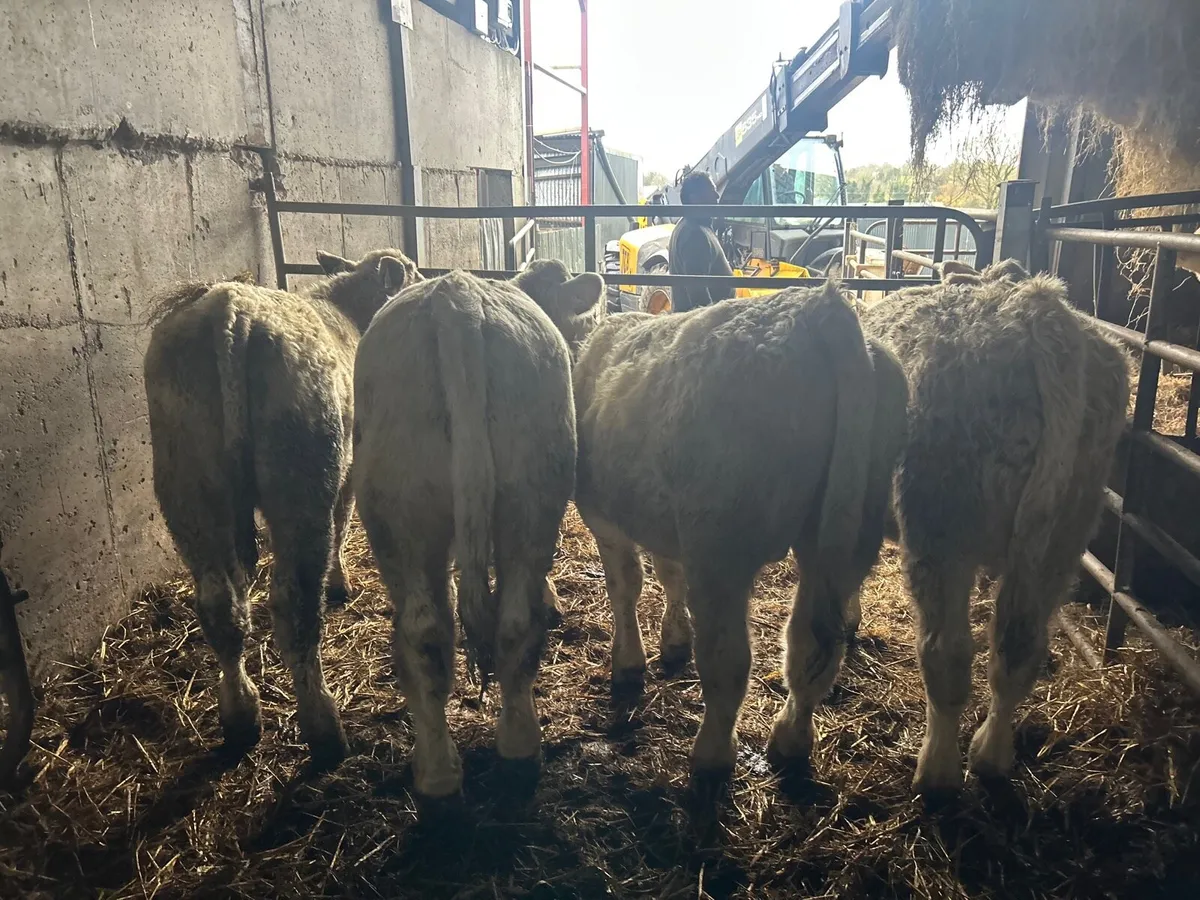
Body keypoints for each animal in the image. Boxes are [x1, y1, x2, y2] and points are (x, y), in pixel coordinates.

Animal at [144, 249, 420, 769]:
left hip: (189, 484)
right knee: (295, 604)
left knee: (220, 606)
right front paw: (340, 584)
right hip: (302, 477)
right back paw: (323, 727)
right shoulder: (348, 468)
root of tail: (228, 309)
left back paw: (240, 716)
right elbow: (343, 524)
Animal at [351, 262, 604, 798]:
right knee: (494, 624)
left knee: (436, 629)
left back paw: (442, 768)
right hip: (526, 495)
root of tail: (456, 296)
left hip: (407, 515)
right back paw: (501, 750)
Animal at [528, 276, 909, 776]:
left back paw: (712, 755)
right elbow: (668, 574)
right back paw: (790, 741)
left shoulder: (603, 515)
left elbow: (626, 586)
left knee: (728, 660)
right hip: (845, 539)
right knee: (812, 647)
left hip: (720, 546)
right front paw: (673, 641)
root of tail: (818, 309)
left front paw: (629, 662)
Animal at [859, 260, 1131, 793]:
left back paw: (937, 771)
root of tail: (1039, 310)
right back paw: (991, 755)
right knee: (1018, 647)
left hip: (939, 525)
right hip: (1063, 532)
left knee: (946, 654)